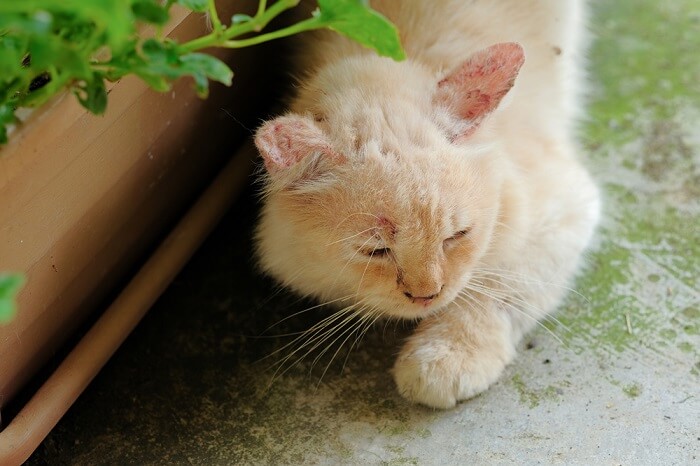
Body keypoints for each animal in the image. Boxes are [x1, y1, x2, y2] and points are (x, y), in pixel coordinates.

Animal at [254, 0, 600, 408]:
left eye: (457, 235)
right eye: (376, 251)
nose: (426, 296)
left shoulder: (564, 205)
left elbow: (495, 288)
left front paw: (445, 358)